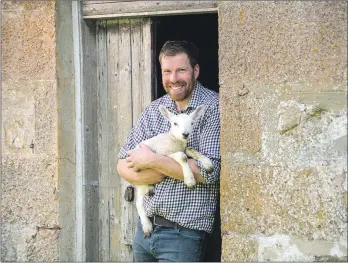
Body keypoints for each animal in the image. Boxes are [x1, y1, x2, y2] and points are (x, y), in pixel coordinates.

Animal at [134, 104, 213, 237]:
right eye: (175, 123)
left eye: (192, 123)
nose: (185, 134)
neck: (174, 140)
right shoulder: (163, 154)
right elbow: (182, 157)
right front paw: (190, 180)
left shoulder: (183, 148)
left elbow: (191, 150)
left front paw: (208, 164)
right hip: (140, 180)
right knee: (138, 202)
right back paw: (147, 226)